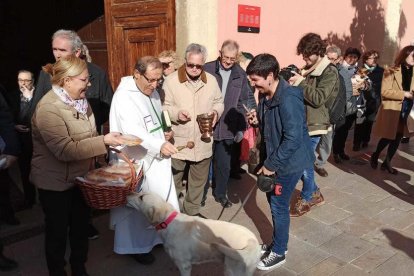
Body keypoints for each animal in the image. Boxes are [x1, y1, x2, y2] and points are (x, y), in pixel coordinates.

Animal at [128, 192, 260, 276]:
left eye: (141, 197)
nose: (127, 194)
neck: (168, 221)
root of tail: (253, 241)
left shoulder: (185, 265)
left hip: (233, 271)